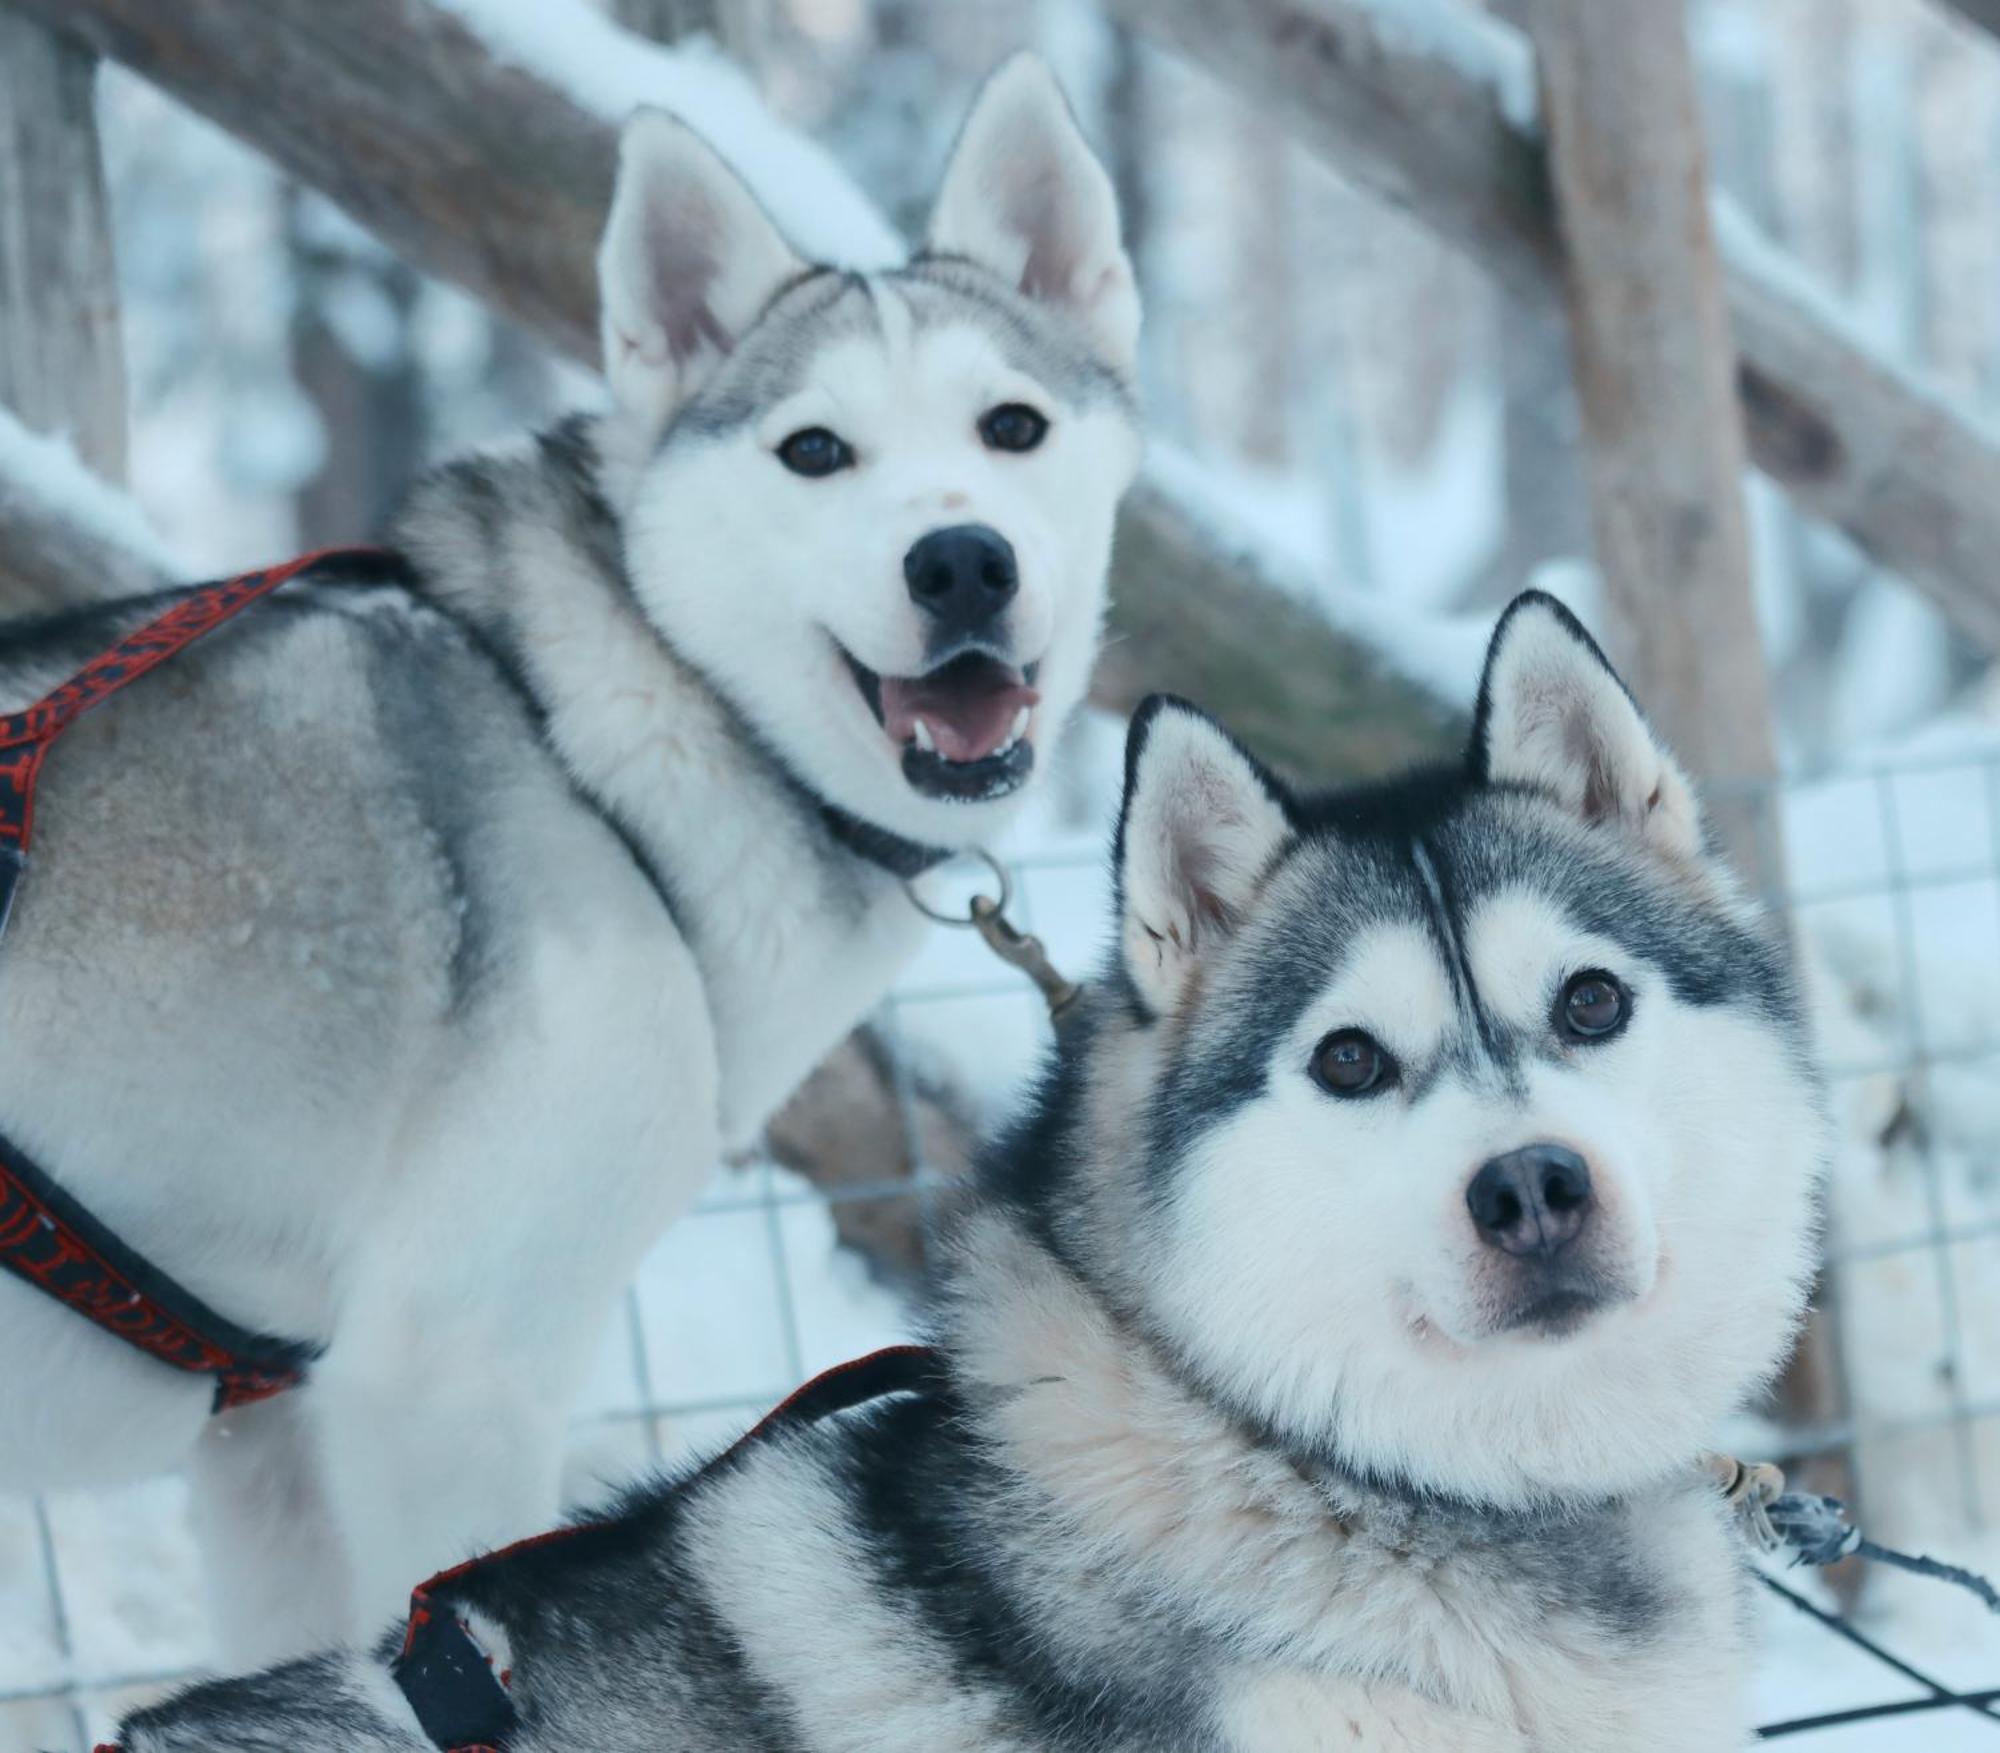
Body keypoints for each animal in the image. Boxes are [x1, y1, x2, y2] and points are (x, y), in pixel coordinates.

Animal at [0, 54, 1144, 1664]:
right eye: (813, 450)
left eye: (1013, 427)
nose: (963, 561)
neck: (599, 731)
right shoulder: (449, 1373)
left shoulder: (270, 1446)